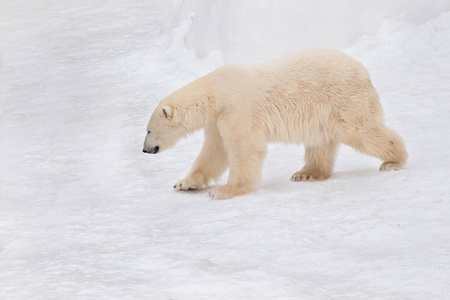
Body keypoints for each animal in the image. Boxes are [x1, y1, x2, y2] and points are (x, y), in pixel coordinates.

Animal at [143, 48, 408, 199]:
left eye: (148, 130)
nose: (145, 150)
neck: (216, 92)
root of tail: (364, 71)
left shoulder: (237, 108)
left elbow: (244, 147)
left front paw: (223, 190)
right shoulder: (218, 119)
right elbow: (214, 152)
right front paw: (183, 183)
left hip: (343, 98)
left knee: (360, 129)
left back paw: (394, 160)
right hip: (323, 110)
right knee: (320, 140)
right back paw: (307, 173)